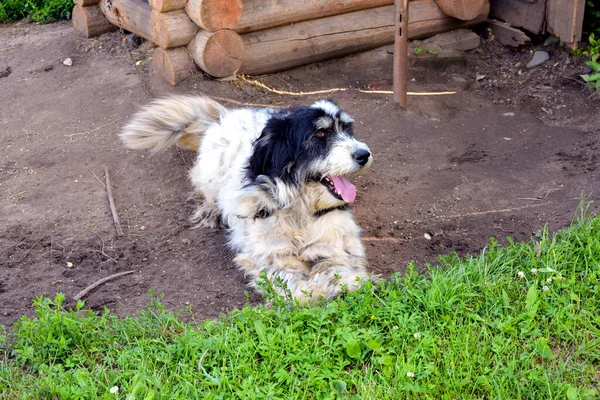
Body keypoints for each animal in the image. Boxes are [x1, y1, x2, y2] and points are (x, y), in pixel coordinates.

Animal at [120, 97, 376, 302]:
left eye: (349, 130)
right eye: (320, 133)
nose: (364, 155)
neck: (298, 211)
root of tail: (224, 116)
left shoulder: (331, 245)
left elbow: (338, 268)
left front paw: (347, 284)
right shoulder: (272, 254)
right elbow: (289, 280)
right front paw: (311, 292)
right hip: (210, 170)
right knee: (206, 190)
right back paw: (210, 211)